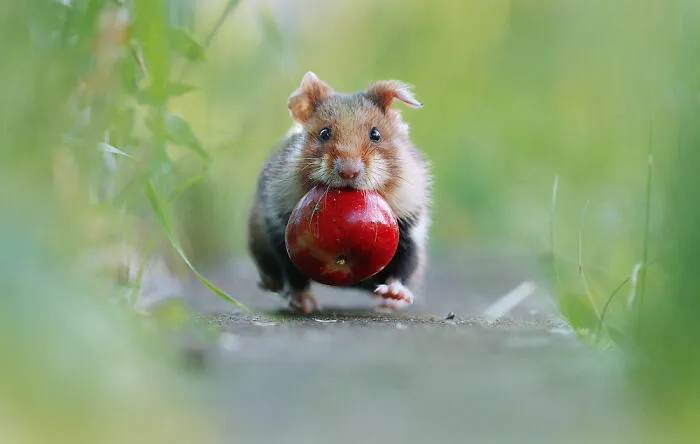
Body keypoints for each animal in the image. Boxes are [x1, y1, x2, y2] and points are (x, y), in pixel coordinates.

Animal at [247, 71, 431, 312]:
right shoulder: (278, 227)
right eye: (324, 133)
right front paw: (304, 303)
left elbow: (403, 268)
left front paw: (394, 295)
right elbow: (293, 273)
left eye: (376, 134)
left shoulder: (410, 227)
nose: (349, 172)